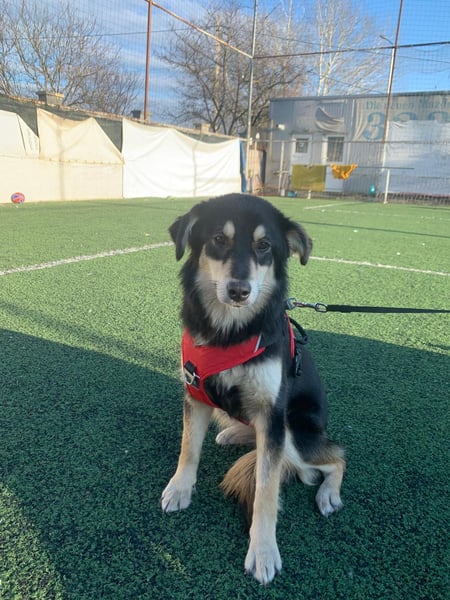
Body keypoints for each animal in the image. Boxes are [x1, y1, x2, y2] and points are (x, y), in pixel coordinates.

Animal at [161, 193, 345, 584]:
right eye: (218, 239)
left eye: (264, 246)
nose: (239, 291)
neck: (229, 334)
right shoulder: (195, 394)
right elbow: (188, 448)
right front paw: (180, 488)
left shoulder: (271, 414)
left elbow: (266, 488)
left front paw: (262, 551)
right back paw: (232, 433)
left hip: (294, 432)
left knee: (337, 454)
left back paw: (328, 494)